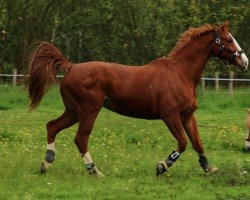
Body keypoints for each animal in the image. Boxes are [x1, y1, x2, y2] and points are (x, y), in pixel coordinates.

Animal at [25, 21, 248, 176]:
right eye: (229, 39)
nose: (245, 61)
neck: (180, 73)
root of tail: (70, 67)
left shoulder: (187, 116)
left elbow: (197, 143)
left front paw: (209, 169)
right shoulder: (170, 116)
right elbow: (183, 143)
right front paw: (162, 166)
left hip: (73, 111)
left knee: (52, 126)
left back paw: (46, 163)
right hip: (88, 111)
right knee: (80, 139)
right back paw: (95, 171)